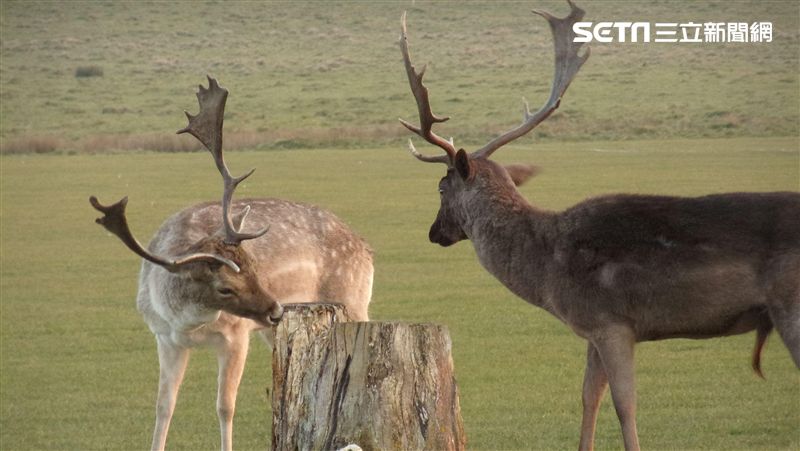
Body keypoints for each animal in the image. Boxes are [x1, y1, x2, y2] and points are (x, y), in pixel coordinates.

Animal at [90, 77, 373, 451]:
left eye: (254, 265)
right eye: (225, 287)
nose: (276, 308)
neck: (189, 325)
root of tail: (366, 247)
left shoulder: (237, 335)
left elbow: (225, 406)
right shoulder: (164, 338)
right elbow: (164, 406)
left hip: (352, 299)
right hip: (275, 328)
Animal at [398, 2, 800, 450]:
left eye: (440, 187)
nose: (434, 232)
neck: (547, 270)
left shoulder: (612, 323)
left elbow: (625, 405)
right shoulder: (591, 330)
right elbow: (589, 397)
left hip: (792, 304)